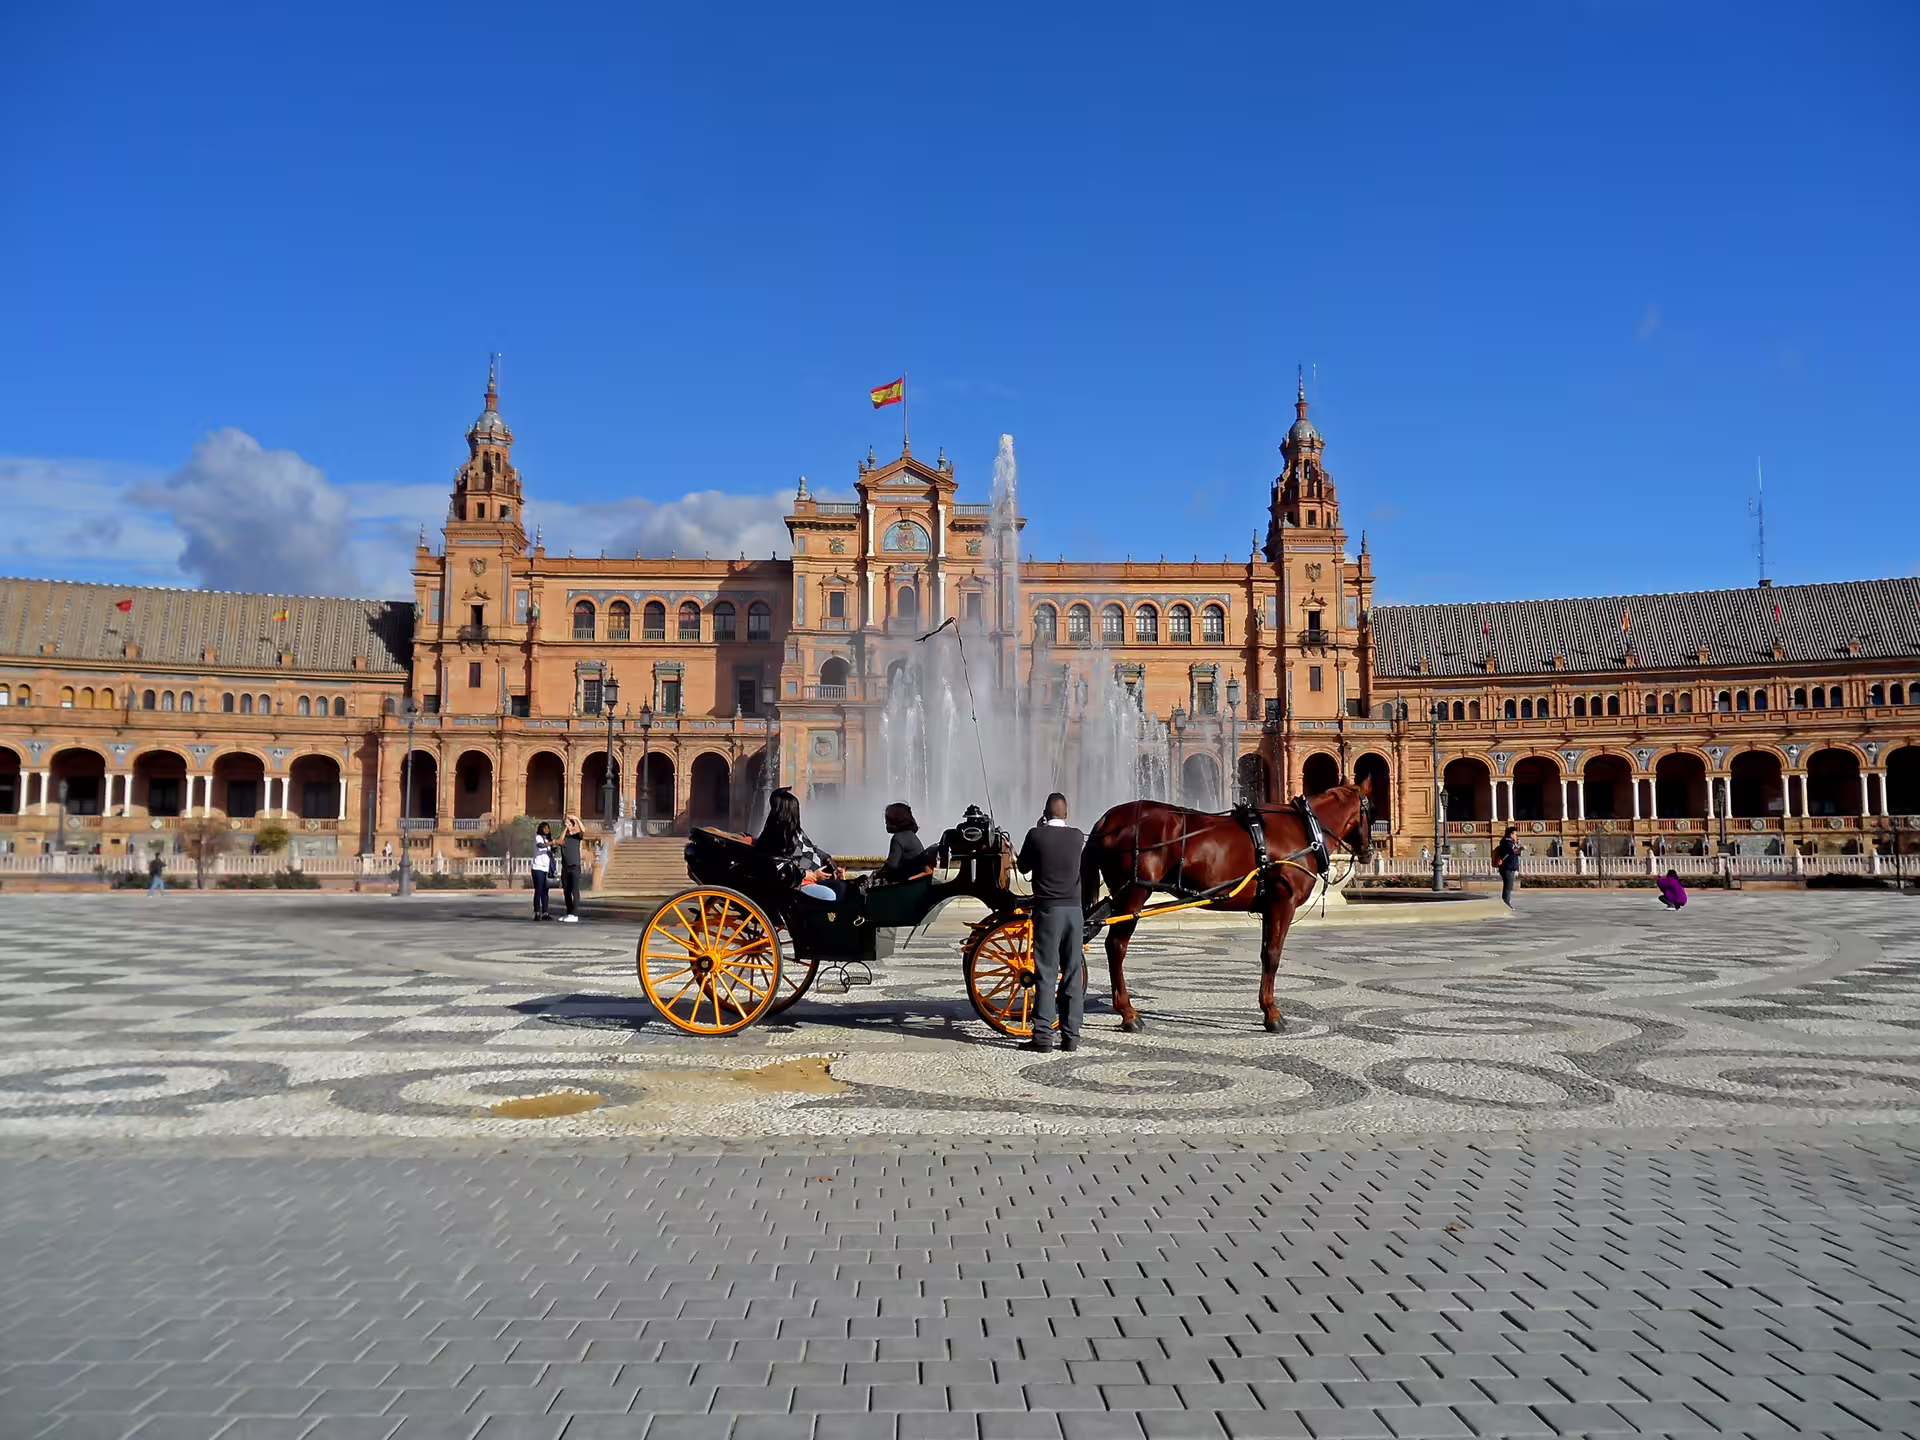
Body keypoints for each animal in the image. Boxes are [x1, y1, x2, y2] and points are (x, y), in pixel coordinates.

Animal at [1079, 778, 1375, 1033]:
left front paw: (1267, 1008)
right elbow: (1273, 955)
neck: (1304, 830)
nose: (1369, 851)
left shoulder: (1269, 907)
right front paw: (1273, 1014)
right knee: (1116, 947)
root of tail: (1107, 819)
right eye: (1370, 811)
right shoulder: (1283, 903)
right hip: (1133, 895)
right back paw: (1128, 1013)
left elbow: (1266, 953)